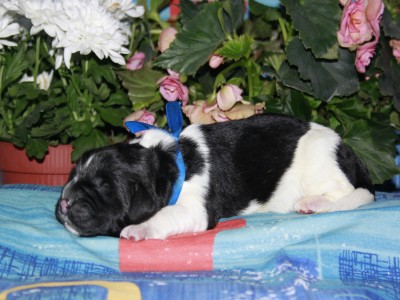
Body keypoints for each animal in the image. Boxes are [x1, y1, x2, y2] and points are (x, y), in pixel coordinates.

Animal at [56, 113, 376, 240]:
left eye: (104, 187)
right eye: (72, 176)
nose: (65, 202)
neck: (168, 161)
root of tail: (348, 151)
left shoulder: (194, 209)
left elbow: (164, 215)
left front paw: (140, 229)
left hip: (319, 166)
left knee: (345, 194)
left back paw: (313, 203)